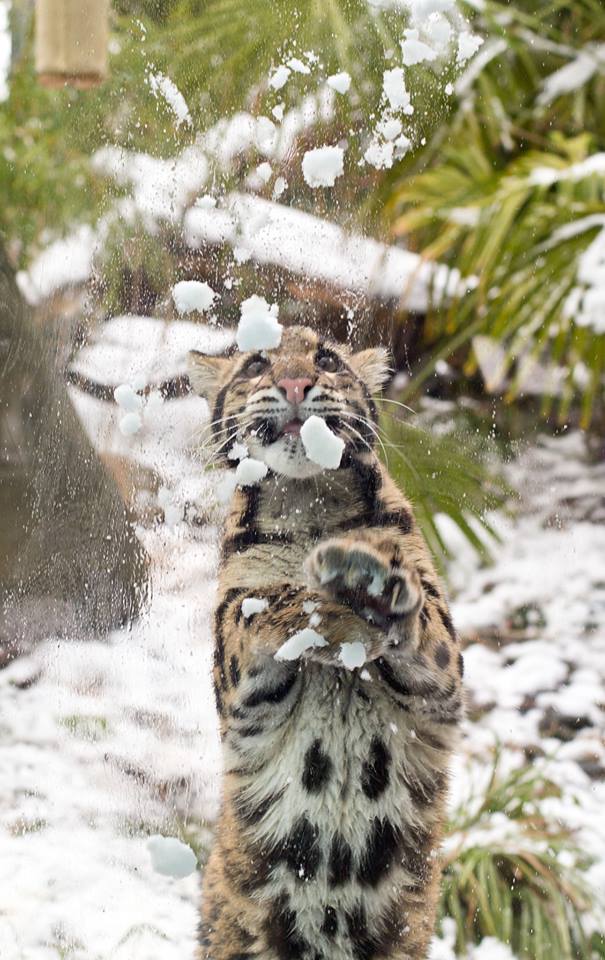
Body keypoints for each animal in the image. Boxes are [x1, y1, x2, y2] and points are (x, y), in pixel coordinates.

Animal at [189, 324, 462, 960]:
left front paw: (370, 581)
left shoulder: (443, 682)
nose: (294, 382)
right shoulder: (238, 693)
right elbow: (255, 609)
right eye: (257, 363)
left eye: (328, 359)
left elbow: (423, 618)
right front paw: (320, 602)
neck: (308, 501)